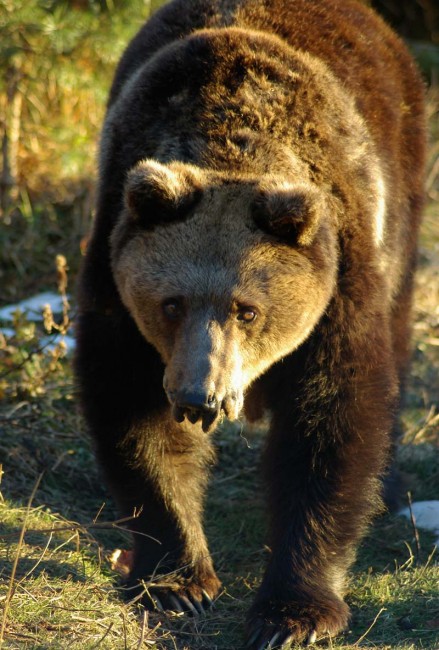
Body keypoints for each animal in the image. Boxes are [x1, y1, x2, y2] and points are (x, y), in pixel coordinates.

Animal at [75, 2, 426, 644]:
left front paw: (292, 614)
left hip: (404, 193)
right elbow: (135, 415)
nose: (200, 397)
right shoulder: (118, 276)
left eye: (248, 309)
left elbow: (331, 422)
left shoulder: (339, 280)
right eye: (171, 303)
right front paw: (178, 582)